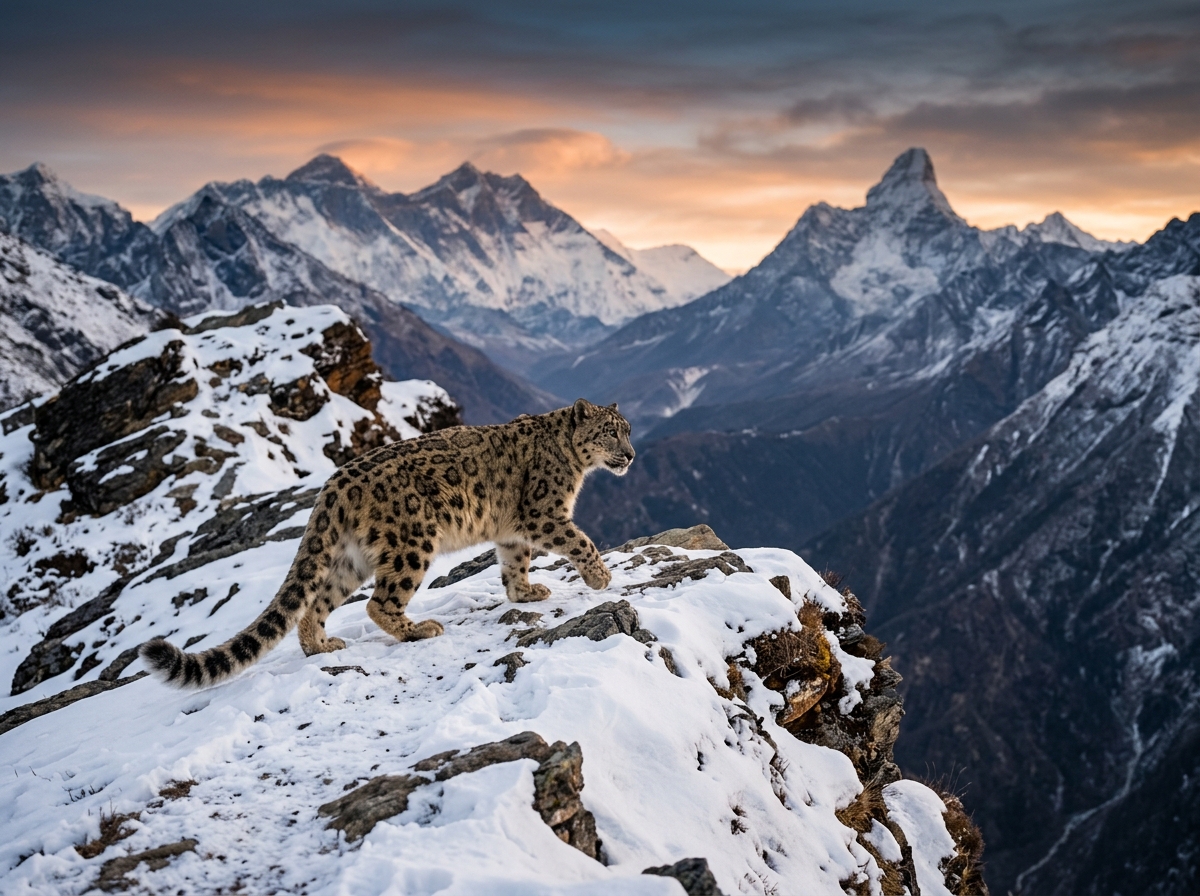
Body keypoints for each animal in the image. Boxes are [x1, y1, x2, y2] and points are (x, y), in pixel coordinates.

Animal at [140, 398, 635, 688]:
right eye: (610, 431)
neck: (574, 464)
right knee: (378, 603)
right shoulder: (543, 514)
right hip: (411, 544)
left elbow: (514, 563)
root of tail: (333, 485)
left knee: (317, 601)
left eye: (627, 428)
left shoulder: (512, 531)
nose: (631, 455)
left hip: (349, 560)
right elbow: (580, 540)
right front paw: (600, 577)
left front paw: (526, 592)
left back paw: (322, 646)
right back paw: (420, 629)